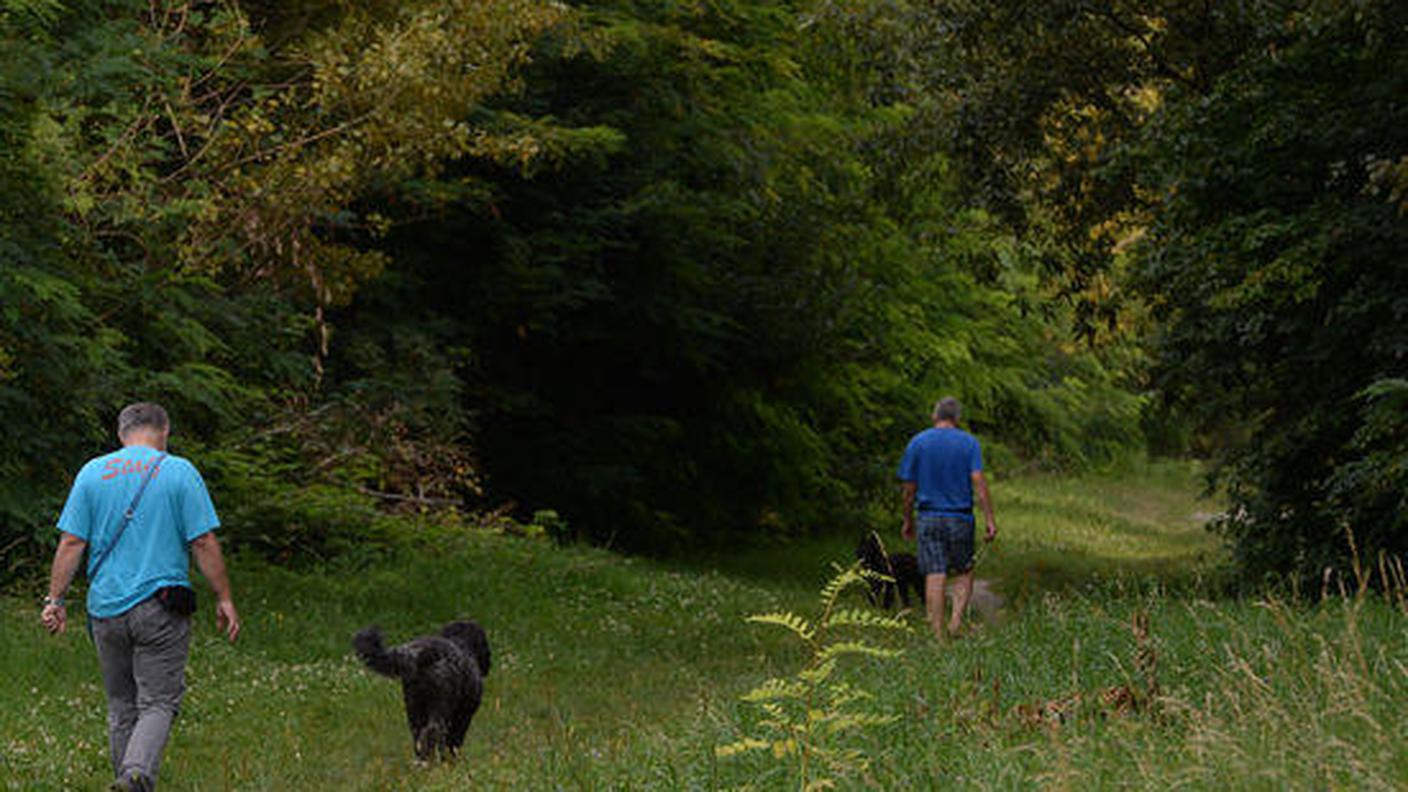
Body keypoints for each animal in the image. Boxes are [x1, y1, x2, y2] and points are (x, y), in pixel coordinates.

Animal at [354, 617, 492, 760]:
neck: (462, 643)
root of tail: (423, 654)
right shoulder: (464, 716)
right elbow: (455, 740)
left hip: (414, 710)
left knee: (418, 736)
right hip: (440, 709)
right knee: (433, 732)